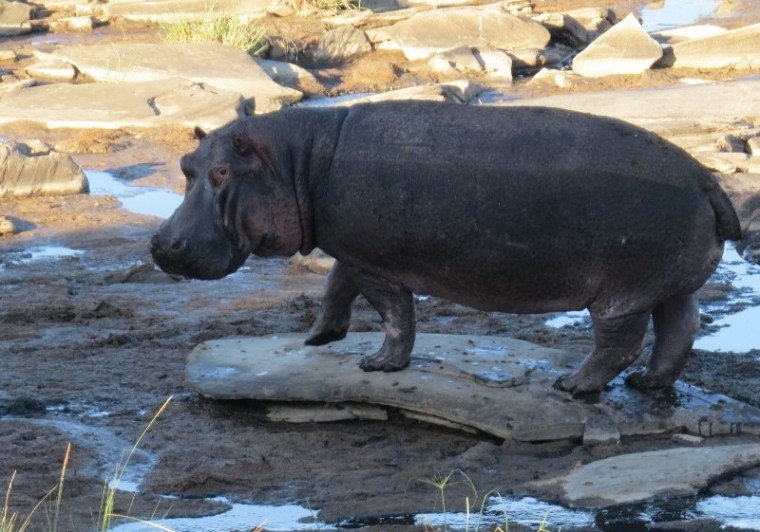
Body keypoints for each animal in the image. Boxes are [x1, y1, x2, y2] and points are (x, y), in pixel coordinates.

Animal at [151, 101, 741, 393]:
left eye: (222, 172)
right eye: (186, 165)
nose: (159, 243)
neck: (296, 160)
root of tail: (705, 179)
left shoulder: (377, 264)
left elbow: (394, 315)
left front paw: (376, 366)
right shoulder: (353, 251)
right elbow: (334, 285)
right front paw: (317, 338)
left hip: (621, 292)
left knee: (621, 341)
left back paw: (572, 386)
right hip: (667, 282)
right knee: (680, 327)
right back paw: (648, 384)